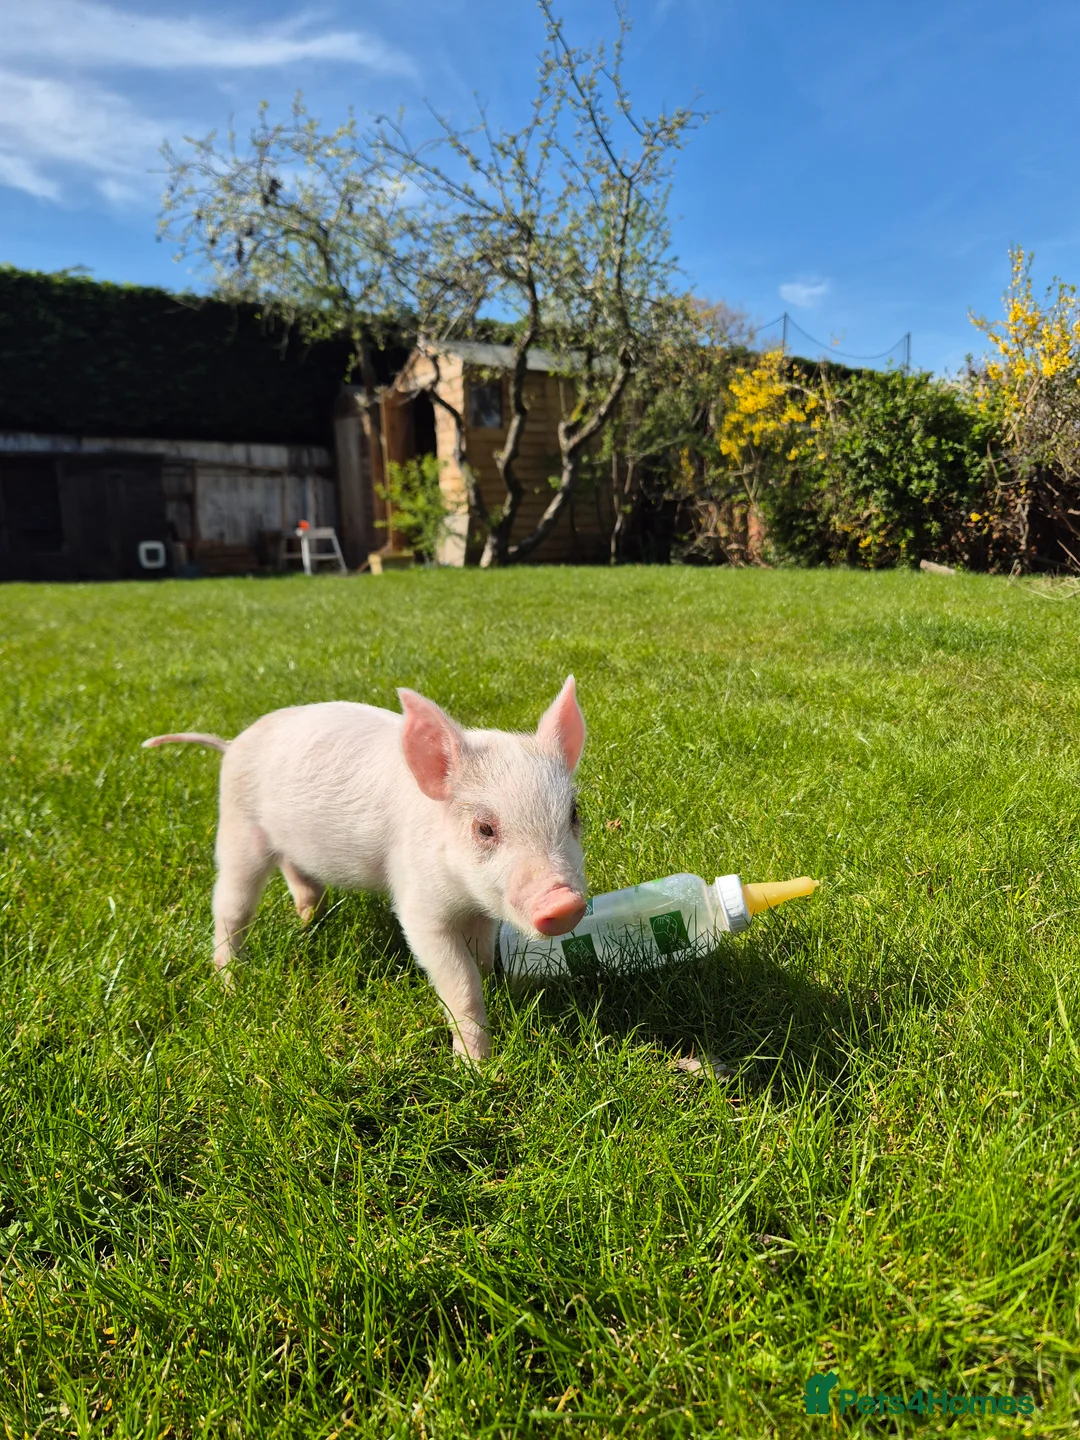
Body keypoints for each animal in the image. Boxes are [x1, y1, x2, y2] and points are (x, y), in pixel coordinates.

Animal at [142, 678, 587, 1061]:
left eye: (573, 814)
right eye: (485, 828)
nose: (564, 902)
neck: (464, 894)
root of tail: (231, 743)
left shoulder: (481, 912)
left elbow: (479, 958)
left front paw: (495, 992)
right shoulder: (419, 906)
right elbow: (460, 983)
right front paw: (476, 1068)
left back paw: (309, 922)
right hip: (238, 828)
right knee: (229, 908)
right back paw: (230, 985)